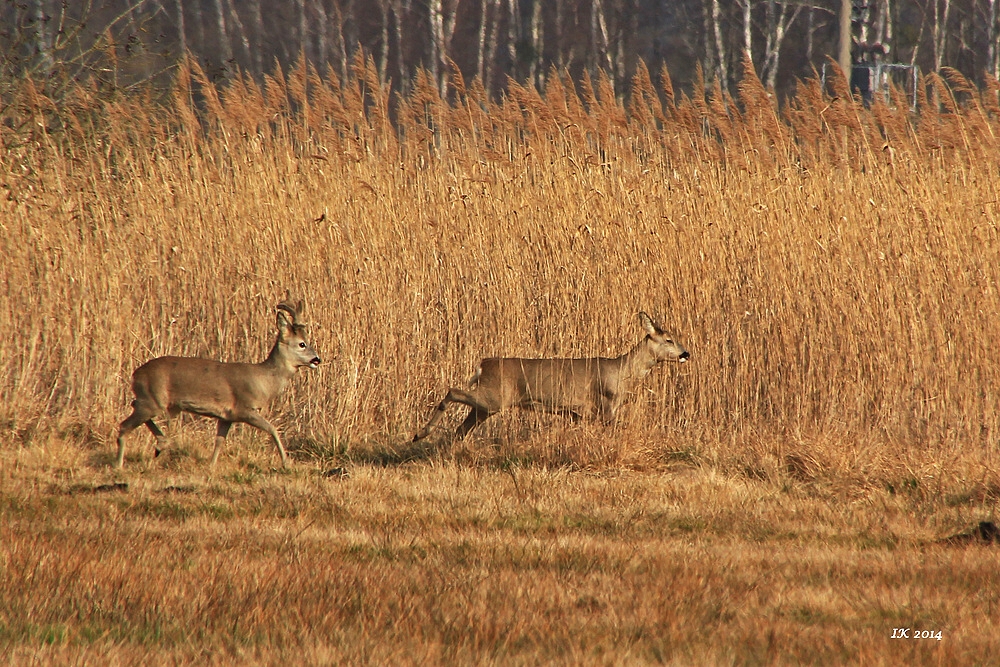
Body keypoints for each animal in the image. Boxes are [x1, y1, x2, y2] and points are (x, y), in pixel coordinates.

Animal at [115, 302, 322, 470]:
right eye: (302, 344)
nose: (317, 359)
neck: (264, 379)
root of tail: (135, 374)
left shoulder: (226, 417)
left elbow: (219, 442)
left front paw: (211, 466)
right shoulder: (245, 408)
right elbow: (272, 428)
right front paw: (286, 463)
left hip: (153, 402)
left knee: (133, 407)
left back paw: (161, 445)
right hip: (153, 401)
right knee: (124, 425)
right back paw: (120, 464)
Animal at [412, 314, 688, 444]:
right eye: (669, 339)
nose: (686, 353)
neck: (623, 371)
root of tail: (483, 364)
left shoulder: (583, 413)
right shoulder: (605, 404)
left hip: (488, 404)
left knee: (462, 427)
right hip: (494, 397)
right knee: (452, 391)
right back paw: (421, 433)